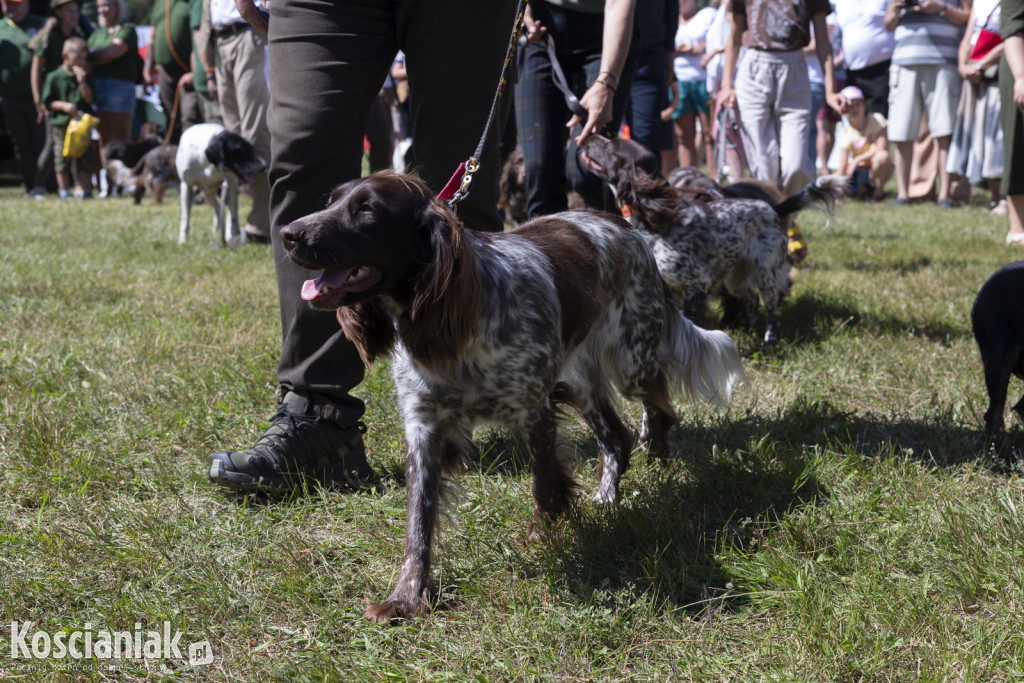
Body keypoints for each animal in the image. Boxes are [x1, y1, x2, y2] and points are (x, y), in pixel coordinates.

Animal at [280, 172, 745, 626]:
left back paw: (659, 454)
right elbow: (418, 522)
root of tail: (621, 221)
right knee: (616, 437)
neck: (453, 326)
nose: (288, 234)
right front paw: (406, 598)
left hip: (631, 358)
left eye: (368, 209)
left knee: (660, 406)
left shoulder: (534, 410)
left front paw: (543, 537)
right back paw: (606, 497)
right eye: (331, 201)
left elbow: (544, 485)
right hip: (578, 378)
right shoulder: (423, 425)